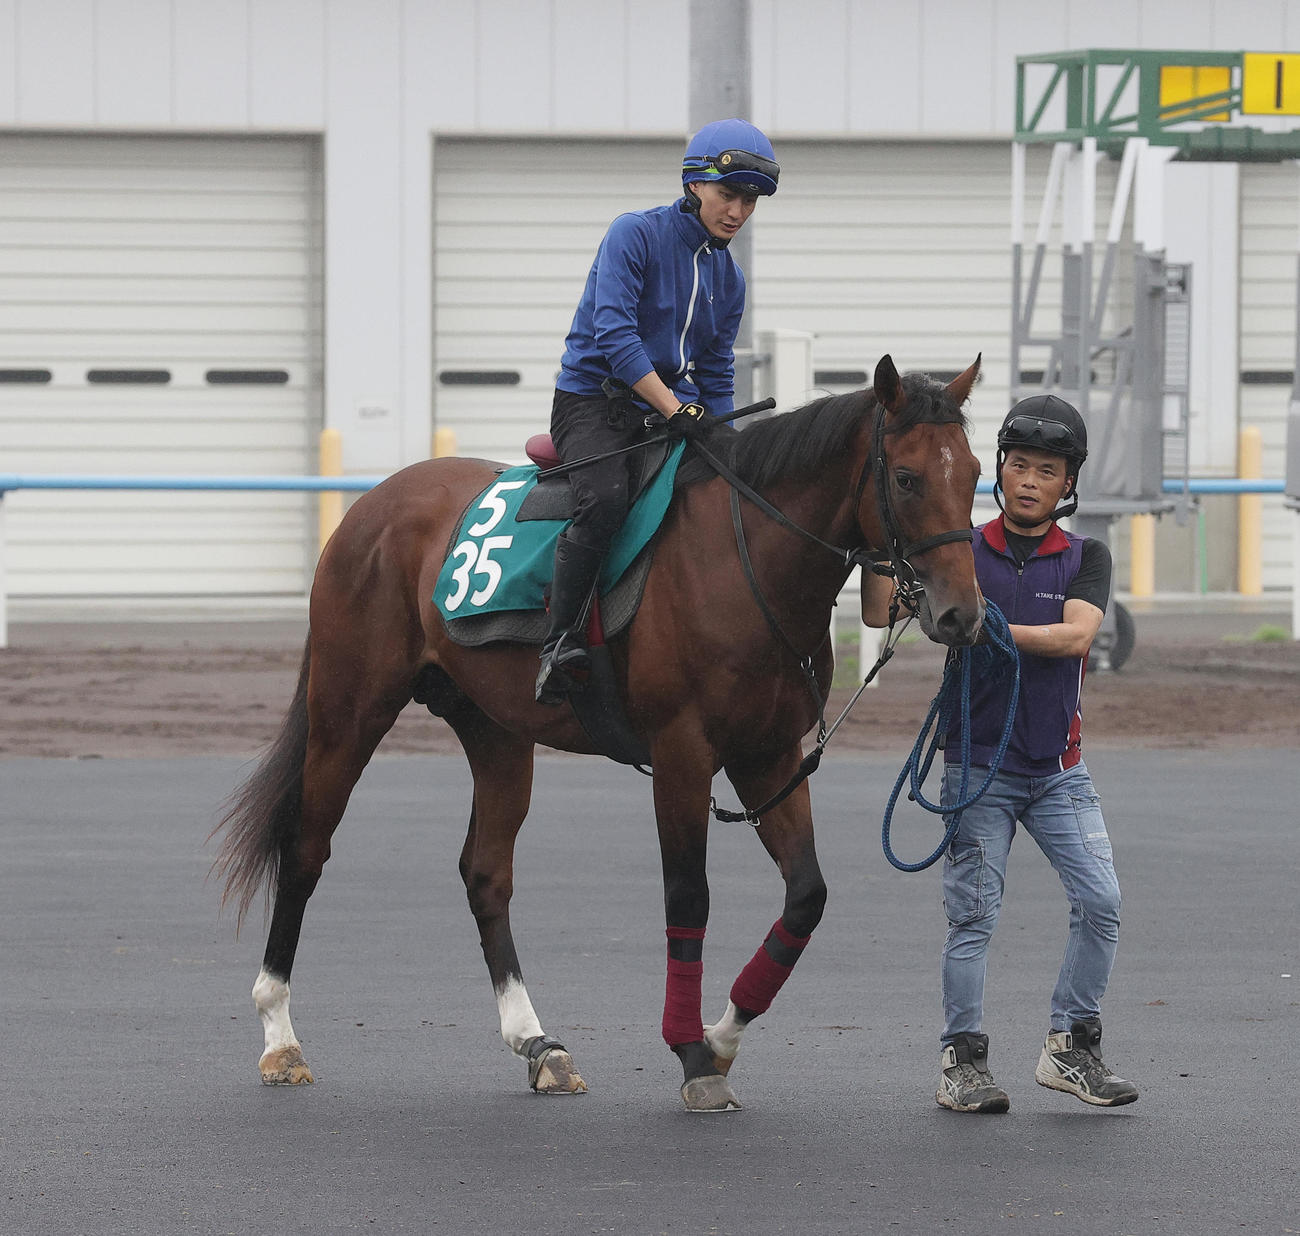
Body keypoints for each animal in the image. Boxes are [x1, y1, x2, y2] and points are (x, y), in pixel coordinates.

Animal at [211, 353, 985, 1112]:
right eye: (908, 477)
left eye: (976, 470)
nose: (962, 615)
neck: (743, 560)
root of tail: (373, 505)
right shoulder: (682, 754)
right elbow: (688, 897)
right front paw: (692, 1052)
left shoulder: (766, 756)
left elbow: (806, 897)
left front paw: (722, 1035)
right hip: (351, 710)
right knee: (306, 849)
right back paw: (280, 1036)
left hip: (495, 730)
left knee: (486, 872)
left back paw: (537, 1044)